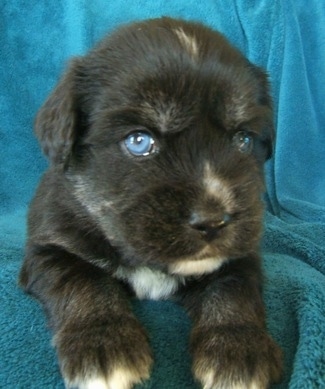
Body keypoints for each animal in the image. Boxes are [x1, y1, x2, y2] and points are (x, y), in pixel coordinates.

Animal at [19, 16, 280, 386]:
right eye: (139, 141)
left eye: (243, 140)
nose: (213, 221)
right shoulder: (50, 248)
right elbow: (83, 282)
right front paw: (103, 343)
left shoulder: (241, 255)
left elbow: (233, 289)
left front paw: (238, 349)